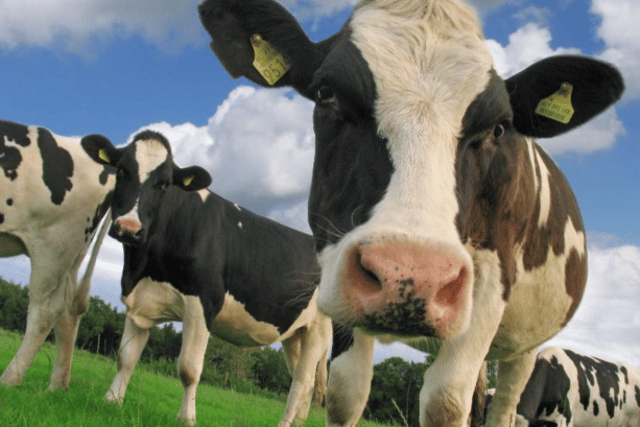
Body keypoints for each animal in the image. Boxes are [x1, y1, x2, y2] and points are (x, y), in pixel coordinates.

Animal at [0, 119, 114, 390]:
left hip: (53, 246)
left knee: (45, 310)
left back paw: (9, 380)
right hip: (73, 252)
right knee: (69, 308)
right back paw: (57, 387)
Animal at [83, 130, 332, 427]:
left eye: (164, 184)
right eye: (122, 170)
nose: (128, 229)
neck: (143, 265)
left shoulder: (203, 303)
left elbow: (189, 369)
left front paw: (187, 418)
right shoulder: (141, 299)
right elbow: (126, 357)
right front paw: (112, 400)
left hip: (318, 330)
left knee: (301, 384)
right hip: (295, 333)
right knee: (303, 384)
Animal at [198, 0, 625, 426]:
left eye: (499, 127)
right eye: (326, 93)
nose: (412, 277)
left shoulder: (493, 278)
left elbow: (444, 402)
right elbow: (345, 393)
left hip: (525, 344)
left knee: (504, 405)